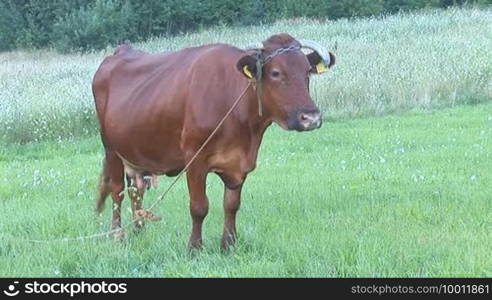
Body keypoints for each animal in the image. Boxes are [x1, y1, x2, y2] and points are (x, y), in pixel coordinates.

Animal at [92, 32, 334, 250]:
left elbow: (232, 205)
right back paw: (118, 235)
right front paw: (194, 248)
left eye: (307, 71)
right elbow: (199, 207)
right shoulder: (194, 160)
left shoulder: (239, 163)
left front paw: (228, 245)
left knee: (136, 191)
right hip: (111, 150)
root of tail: (120, 51)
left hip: (135, 153)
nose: (311, 118)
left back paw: (139, 230)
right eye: (276, 73)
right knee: (117, 192)